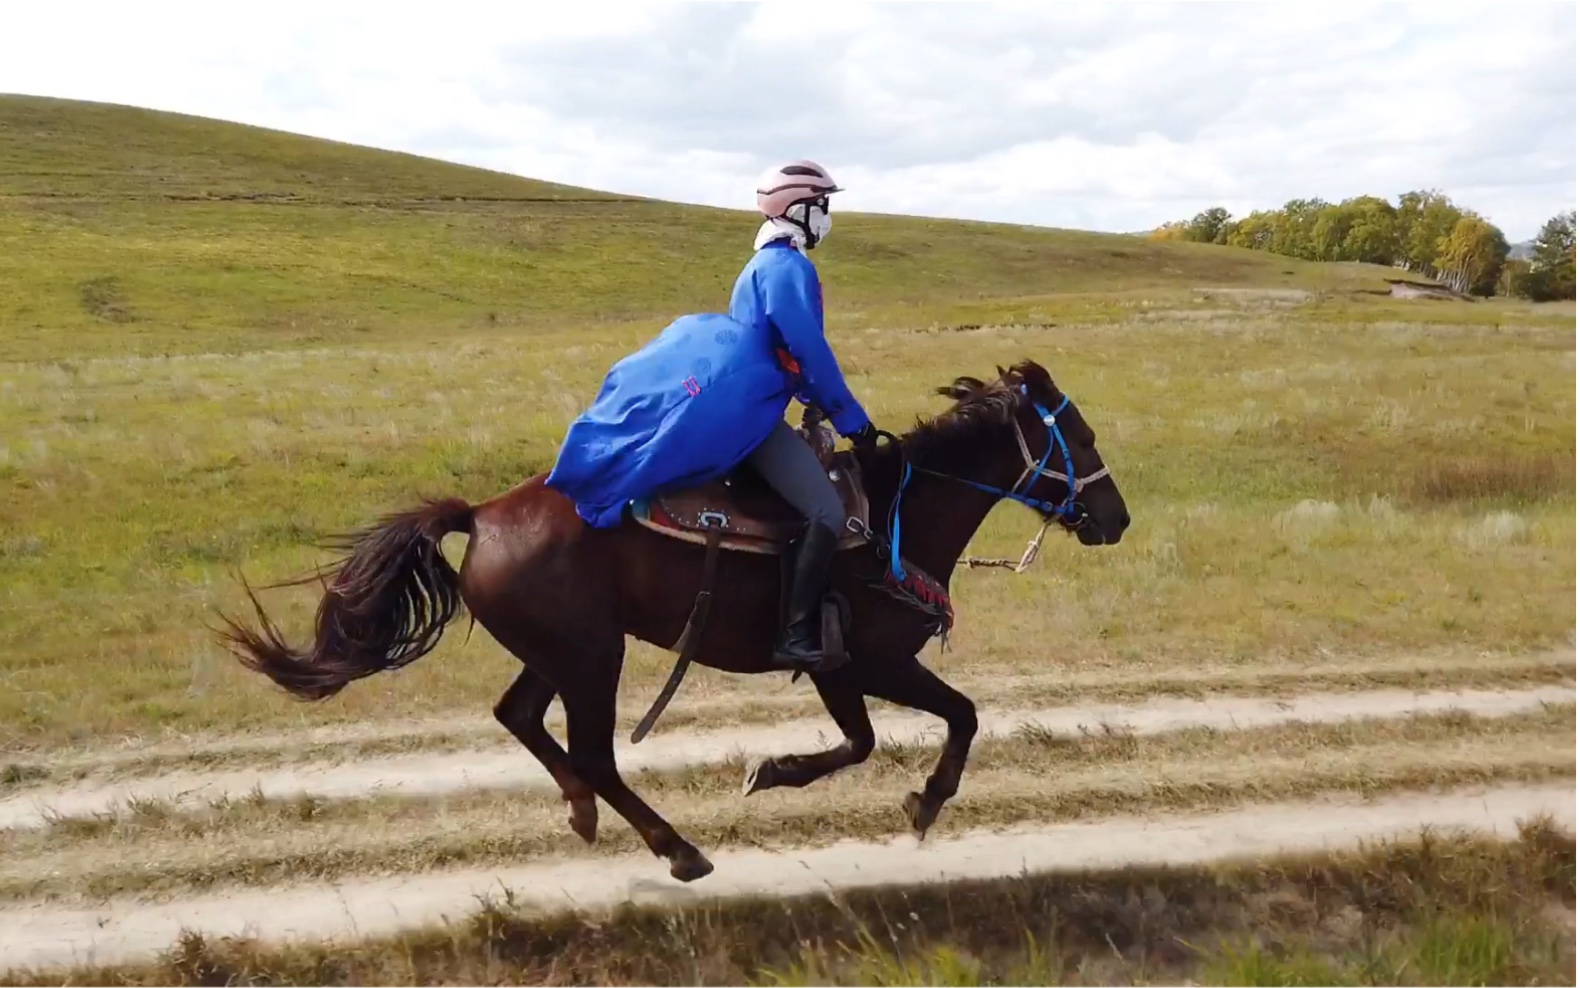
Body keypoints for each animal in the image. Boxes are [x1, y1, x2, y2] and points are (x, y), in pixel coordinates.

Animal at [216, 358, 1131, 885]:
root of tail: (479, 516)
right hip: (593, 659)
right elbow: (946, 720)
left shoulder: (842, 670)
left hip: (565, 651)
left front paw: (783, 772)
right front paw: (918, 801)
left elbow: (875, 738)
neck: (898, 517)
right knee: (593, 751)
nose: (1116, 519)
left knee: (520, 717)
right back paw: (677, 848)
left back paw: (581, 812)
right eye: (1081, 436)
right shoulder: (864, 662)